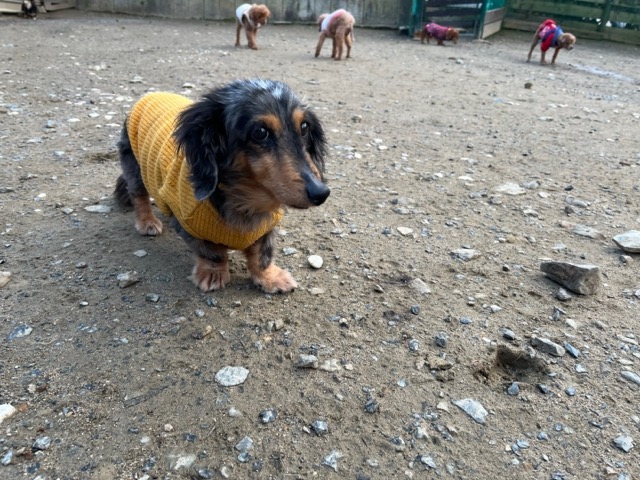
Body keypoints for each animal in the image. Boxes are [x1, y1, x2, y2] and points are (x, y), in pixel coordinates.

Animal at [115, 79, 330, 294]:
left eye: (304, 127)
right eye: (260, 132)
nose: (321, 192)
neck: (248, 200)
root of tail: (151, 94)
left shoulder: (267, 226)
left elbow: (262, 253)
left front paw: (269, 278)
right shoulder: (187, 221)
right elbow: (211, 251)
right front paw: (213, 273)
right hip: (136, 167)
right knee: (139, 196)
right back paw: (147, 222)